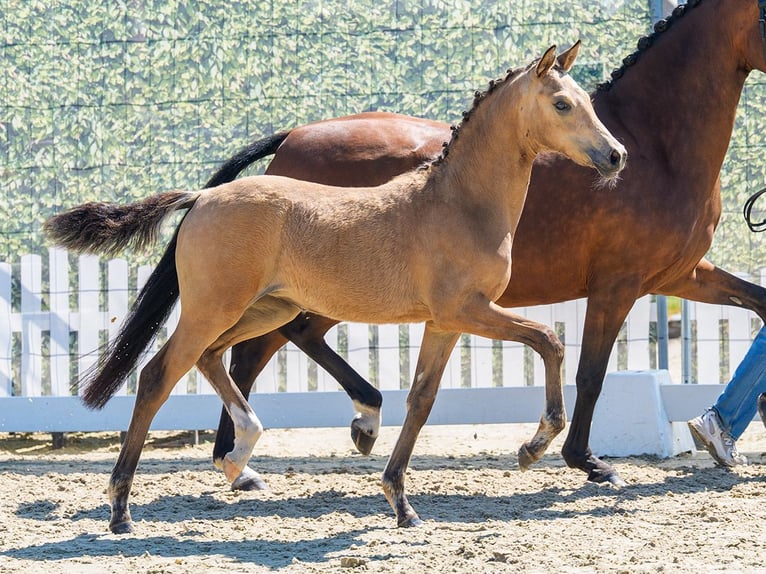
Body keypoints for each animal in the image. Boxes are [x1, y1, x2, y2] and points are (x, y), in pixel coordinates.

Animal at [45, 44, 626, 532]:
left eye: (585, 101)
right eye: (561, 104)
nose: (616, 156)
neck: (459, 204)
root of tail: (201, 198)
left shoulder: (443, 322)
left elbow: (422, 399)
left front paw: (401, 503)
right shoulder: (468, 309)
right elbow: (550, 342)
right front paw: (534, 446)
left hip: (267, 309)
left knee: (213, 359)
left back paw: (241, 455)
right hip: (214, 309)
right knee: (157, 376)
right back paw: (121, 509)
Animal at [209, 0, 766, 490]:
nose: (615, 158)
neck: (657, 146)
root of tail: (291, 137)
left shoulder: (680, 274)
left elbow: (759, 303)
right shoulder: (617, 285)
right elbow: (590, 374)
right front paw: (584, 461)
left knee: (277, 343)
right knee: (253, 352)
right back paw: (250, 459)